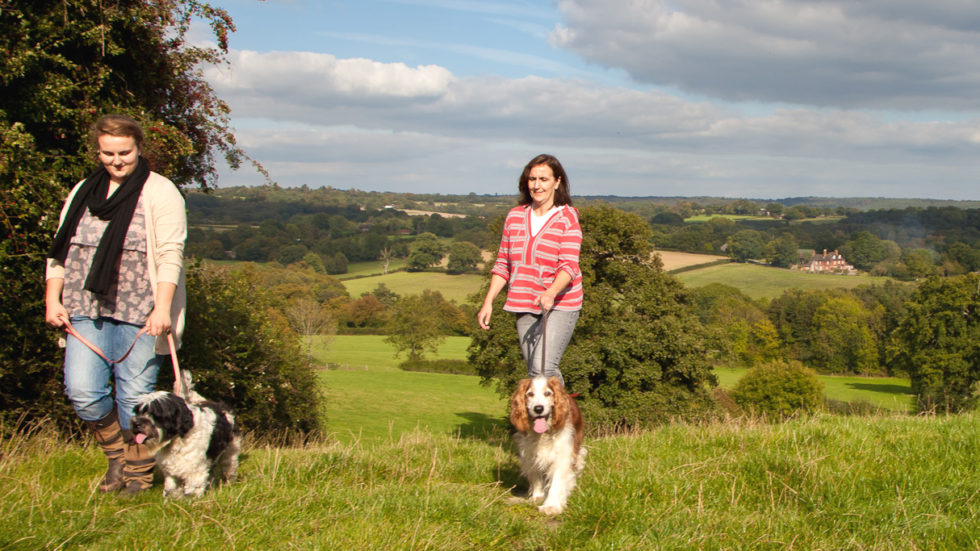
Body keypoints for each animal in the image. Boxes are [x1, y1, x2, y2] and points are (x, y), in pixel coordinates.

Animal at [510, 378, 584, 516]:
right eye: (530, 394)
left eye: (548, 393)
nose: (538, 408)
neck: (542, 435)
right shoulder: (529, 453)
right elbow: (536, 476)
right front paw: (537, 497)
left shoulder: (562, 455)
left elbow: (557, 481)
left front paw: (551, 506)